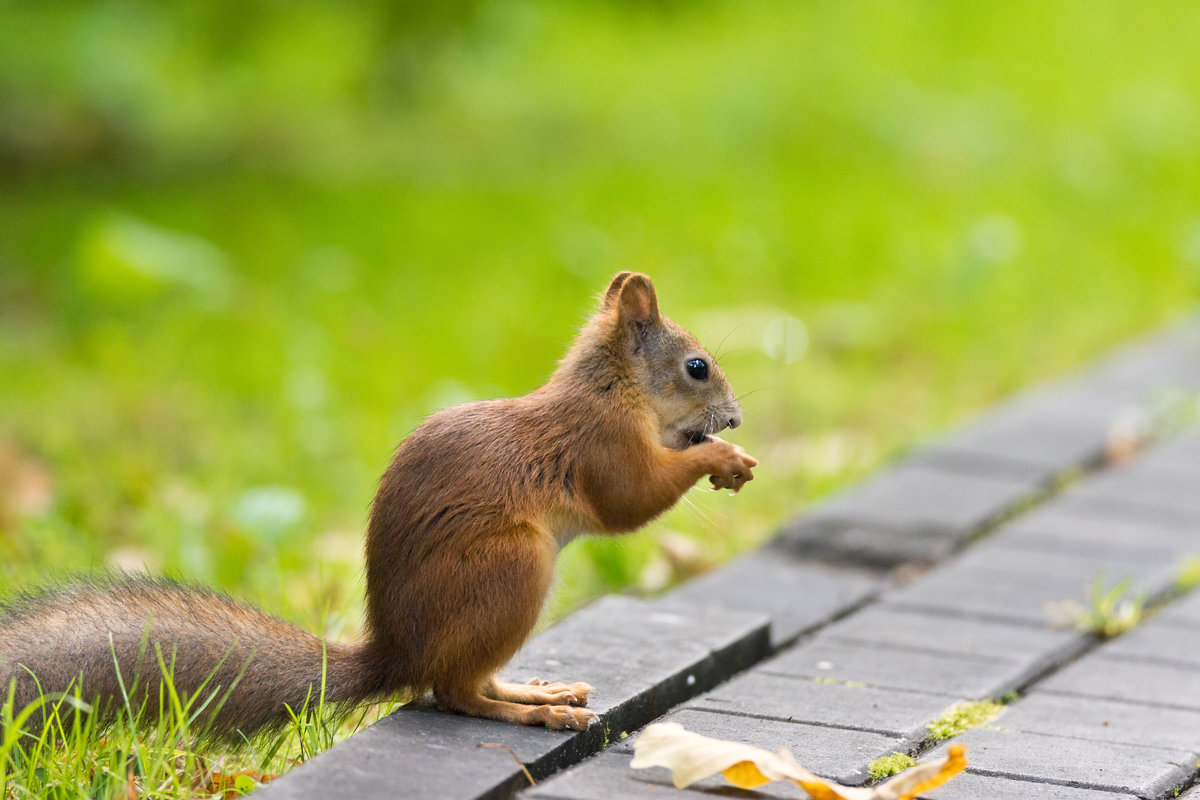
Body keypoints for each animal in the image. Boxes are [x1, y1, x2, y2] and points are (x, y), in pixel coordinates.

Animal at [0, 272, 758, 734]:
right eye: (697, 367)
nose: (736, 418)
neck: (611, 389)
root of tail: (397, 654)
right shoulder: (600, 446)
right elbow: (630, 501)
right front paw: (721, 459)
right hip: (511, 570)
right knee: (452, 692)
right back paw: (534, 714)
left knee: (464, 683)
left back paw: (535, 693)